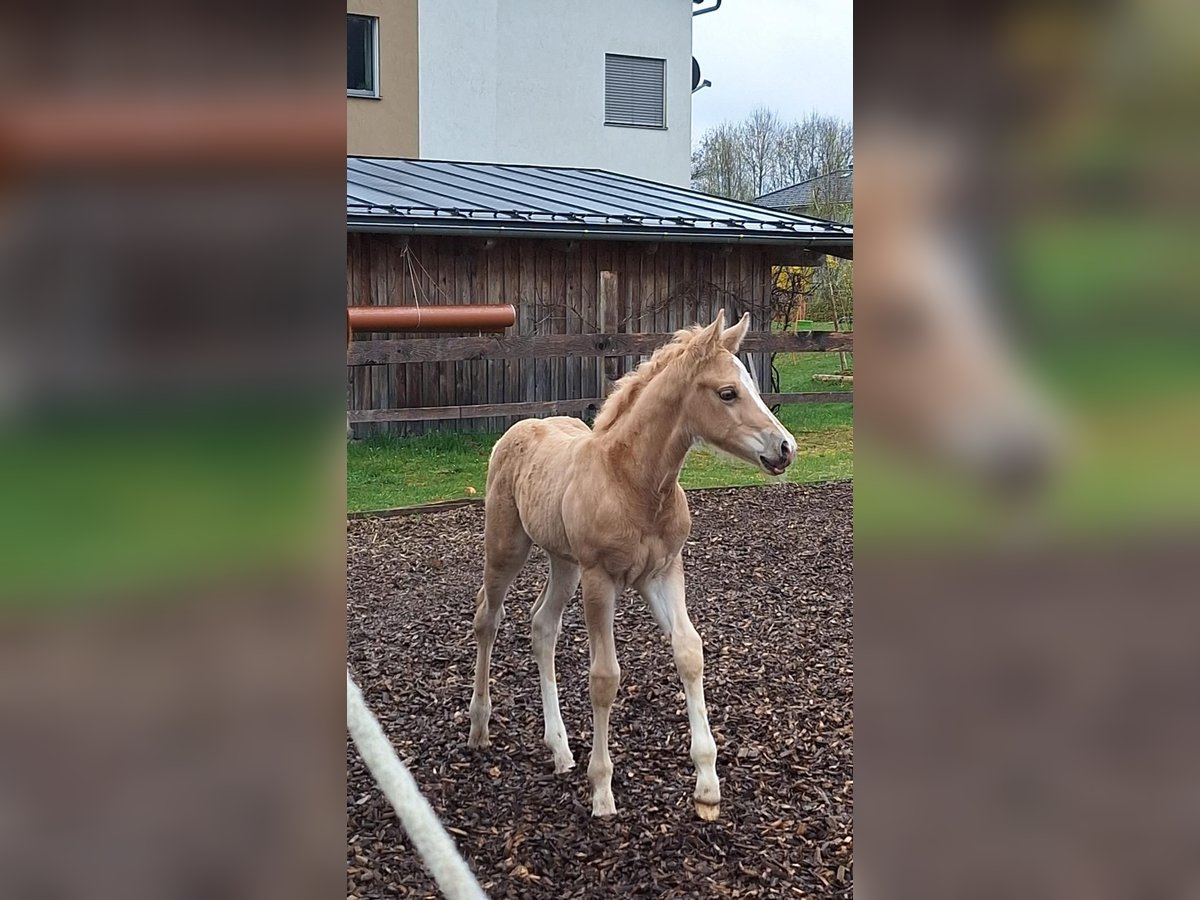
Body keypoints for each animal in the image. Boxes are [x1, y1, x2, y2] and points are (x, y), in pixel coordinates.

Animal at [467, 309, 795, 820]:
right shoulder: (600, 579)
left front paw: (707, 787)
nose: (785, 448)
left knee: (542, 625)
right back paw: (479, 727)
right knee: (489, 617)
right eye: (727, 392)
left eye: (754, 386)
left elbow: (689, 652)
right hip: (508, 546)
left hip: (563, 562)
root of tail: (518, 429)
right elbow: (605, 678)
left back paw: (560, 748)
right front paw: (602, 789)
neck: (633, 483)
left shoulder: (663, 573)